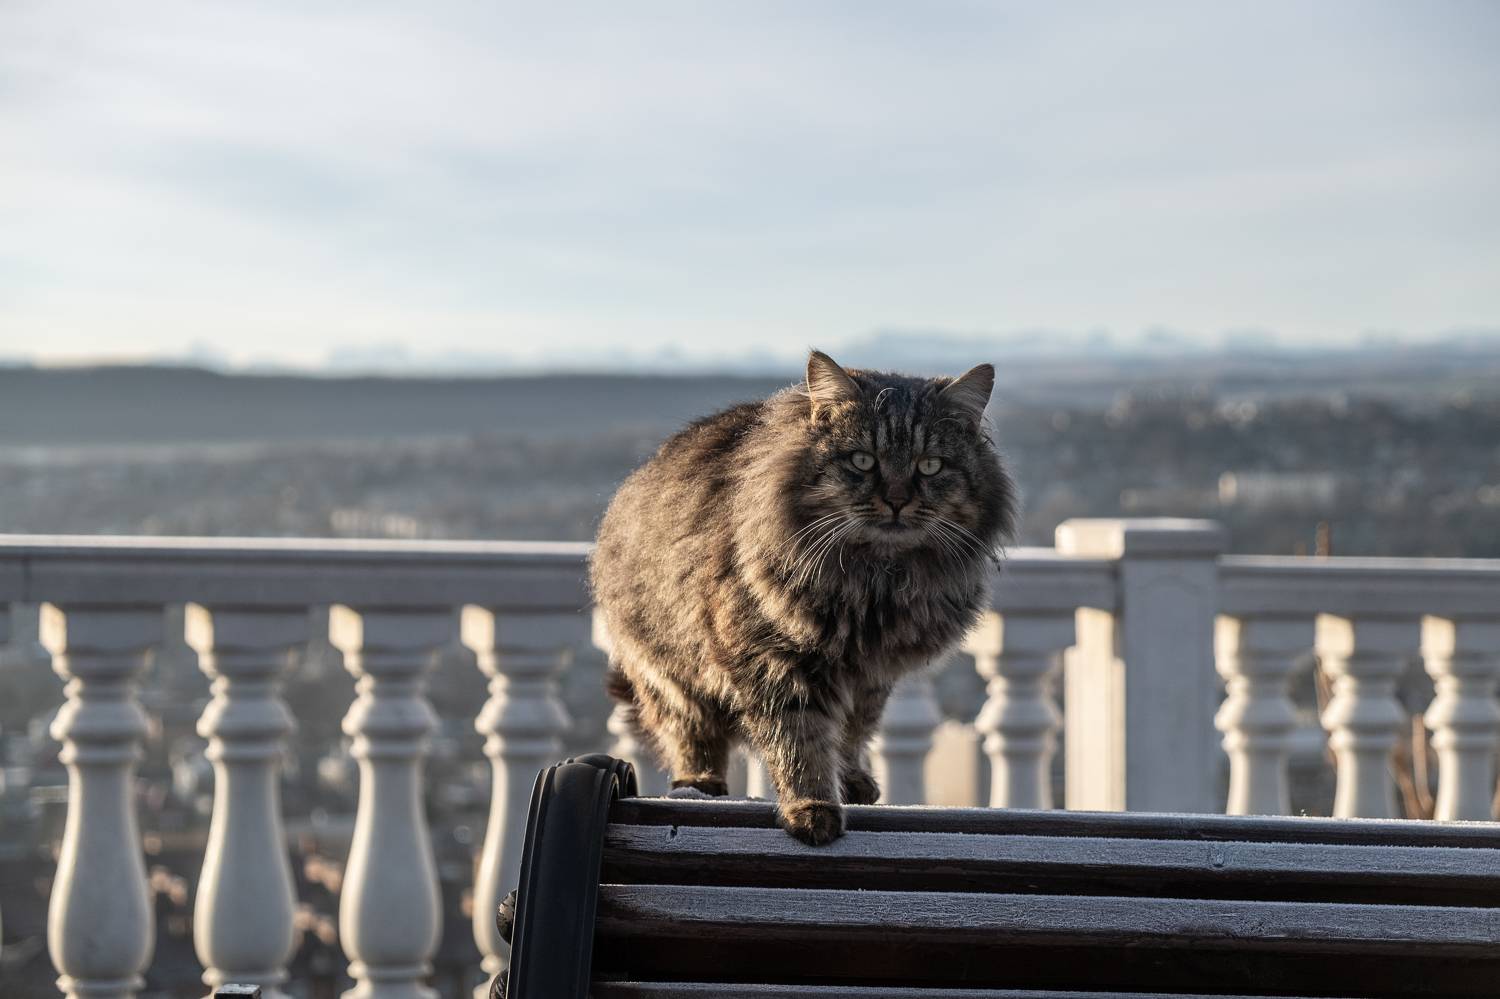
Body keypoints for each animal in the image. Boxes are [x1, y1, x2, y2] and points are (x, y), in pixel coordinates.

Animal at [591, 350, 1016, 844]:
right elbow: (799, 741)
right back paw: (699, 785)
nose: (896, 500)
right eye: (862, 460)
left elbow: (852, 732)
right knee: (693, 736)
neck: (876, 583)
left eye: (930, 465)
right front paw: (812, 807)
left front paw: (848, 780)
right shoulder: (773, 659)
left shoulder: (869, 674)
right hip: (671, 673)